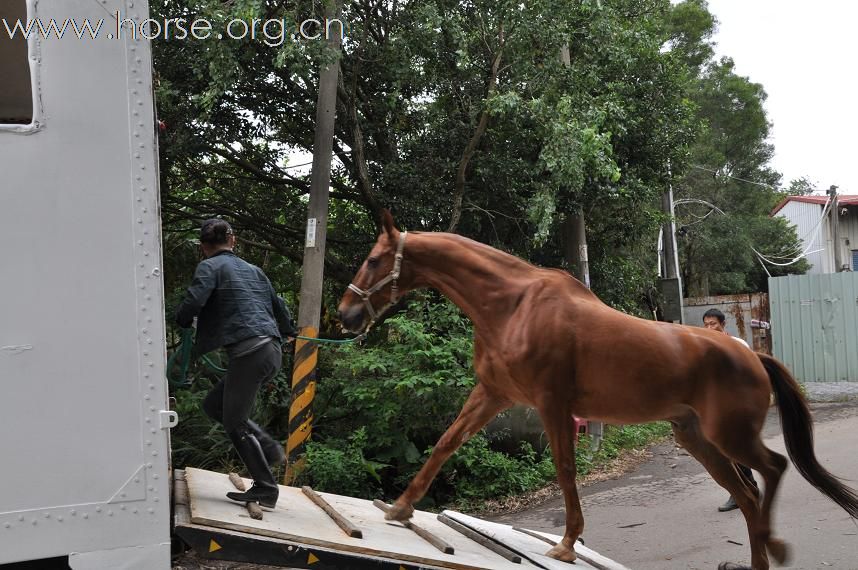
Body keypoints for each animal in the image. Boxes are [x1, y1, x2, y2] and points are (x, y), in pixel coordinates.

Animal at [336, 211, 856, 564]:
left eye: (374, 260)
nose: (345, 315)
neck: (513, 306)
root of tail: (752, 355)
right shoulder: (493, 394)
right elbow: (446, 442)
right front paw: (400, 507)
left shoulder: (552, 404)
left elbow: (566, 469)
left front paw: (568, 543)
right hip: (698, 439)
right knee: (747, 495)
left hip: (730, 436)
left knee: (774, 468)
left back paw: (776, 544)